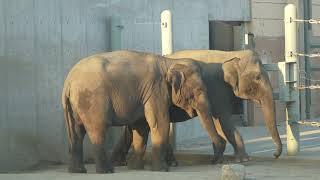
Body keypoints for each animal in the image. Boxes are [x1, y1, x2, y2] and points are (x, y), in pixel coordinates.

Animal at [60, 50, 225, 173]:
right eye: (198, 91)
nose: (214, 161)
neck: (169, 62)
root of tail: (68, 82)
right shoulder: (156, 90)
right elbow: (160, 122)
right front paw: (162, 170)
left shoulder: (146, 95)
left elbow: (141, 126)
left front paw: (135, 168)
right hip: (93, 102)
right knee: (97, 130)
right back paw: (106, 171)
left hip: (72, 106)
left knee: (75, 133)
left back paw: (78, 171)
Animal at [111, 48, 282, 166]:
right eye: (258, 77)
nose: (275, 155)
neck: (231, 54)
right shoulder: (218, 87)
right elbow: (223, 121)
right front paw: (243, 160)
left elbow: (218, 123)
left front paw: (223, 159)